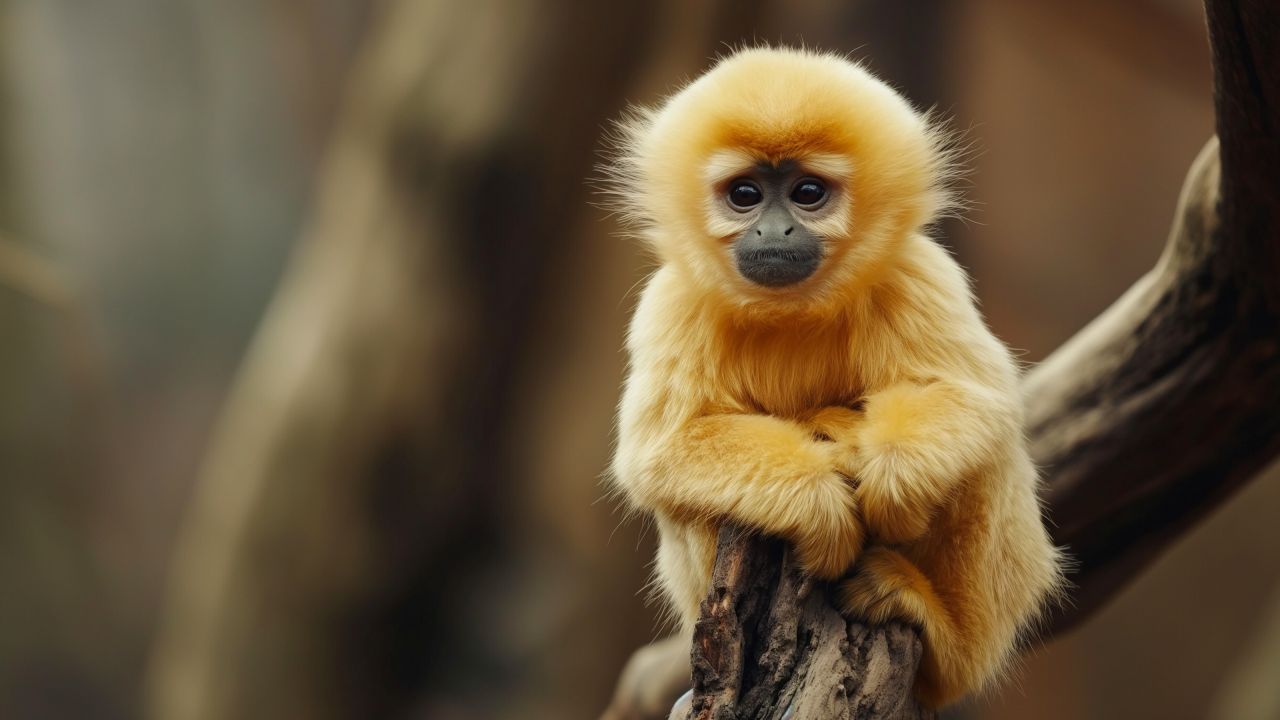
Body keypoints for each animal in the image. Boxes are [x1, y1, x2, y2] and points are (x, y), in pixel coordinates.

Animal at [603, 46, 1065, 709]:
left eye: (807, 192)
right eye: (745, 194)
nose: (775, 229)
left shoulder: (915, 272)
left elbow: (979, 400)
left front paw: (890, 489)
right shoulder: (673, 302)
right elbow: (661, 452)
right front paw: (820, 505)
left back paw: (933, 624)